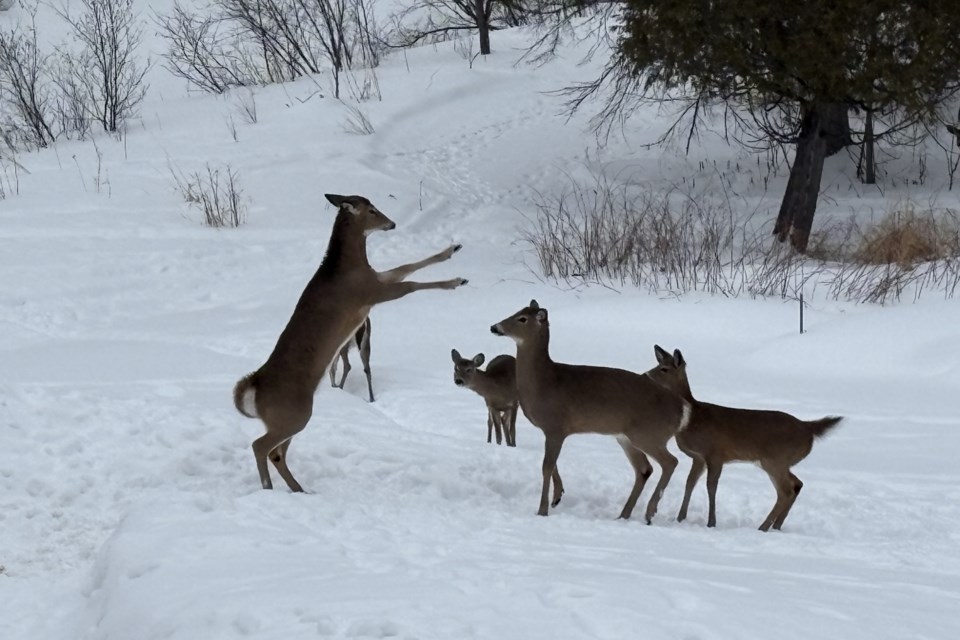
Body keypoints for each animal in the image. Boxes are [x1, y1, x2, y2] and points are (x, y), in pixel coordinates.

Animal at [236, 194, 468, 490]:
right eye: (372, 210)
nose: (392, 223)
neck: (348, 268)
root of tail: (252, 389)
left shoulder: (375, 279)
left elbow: (406, 267)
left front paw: (453, 249)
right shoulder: (369, 293)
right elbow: (411, 284)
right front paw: (456, 281)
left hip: (287, 417)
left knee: (276, 452)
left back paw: (299, 490)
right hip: (293, 414)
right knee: (260, 446)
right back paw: (270, 488)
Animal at [496, 302, 688, 520]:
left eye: (522, 319)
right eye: (516, 312)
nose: (495, 327)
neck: (545, 382)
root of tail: (683, 409)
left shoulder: (556, 426)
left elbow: (546, 466)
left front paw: (542, 510)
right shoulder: (551, 430)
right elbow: (551, 465)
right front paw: (557, 497)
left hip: (649, 434)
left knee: (670, 462)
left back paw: (649, 512)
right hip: (625, 437)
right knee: (644, 468)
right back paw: (623, 515)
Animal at [644, 344, 840, 528]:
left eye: (664, 369)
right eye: (658, 364)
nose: (645, 375)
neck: (693, 417)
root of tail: (808, 428)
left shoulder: (716, 453)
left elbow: (711, 487)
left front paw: (711, 522)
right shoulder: (698, 457)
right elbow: (690, 483)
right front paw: (679, 518)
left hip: (775, 459)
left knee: (786, 490)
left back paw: (763, 527)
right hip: (778, 462)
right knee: (797, 484)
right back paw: (776, 526)